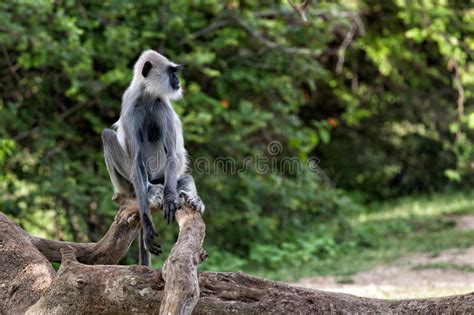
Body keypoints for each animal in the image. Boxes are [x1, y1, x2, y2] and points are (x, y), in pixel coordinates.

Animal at [101, 49, 205, 266]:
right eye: (171, 72)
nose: (177, 80)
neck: (147, 94)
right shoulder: (130, 107)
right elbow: (136, 161)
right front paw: (148, 226)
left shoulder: (162, 105)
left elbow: (172, 154)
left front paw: (170, 198)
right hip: (127, 184)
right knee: (107, 135)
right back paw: (146, 190)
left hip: (164, 176)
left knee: (184, 177)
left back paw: (191, 198)